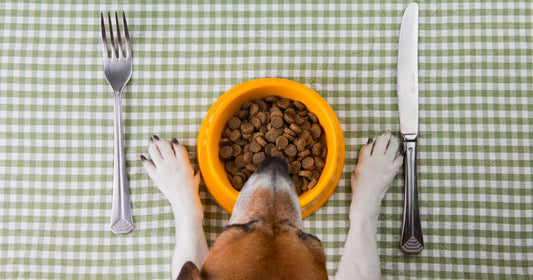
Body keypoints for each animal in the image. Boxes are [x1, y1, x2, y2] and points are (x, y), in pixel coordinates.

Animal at [139, 132, 402, 280]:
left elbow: (362, 219)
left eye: (307, 237)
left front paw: (376, 170)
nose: (275, 162)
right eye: (243, 226)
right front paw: (172, 171)